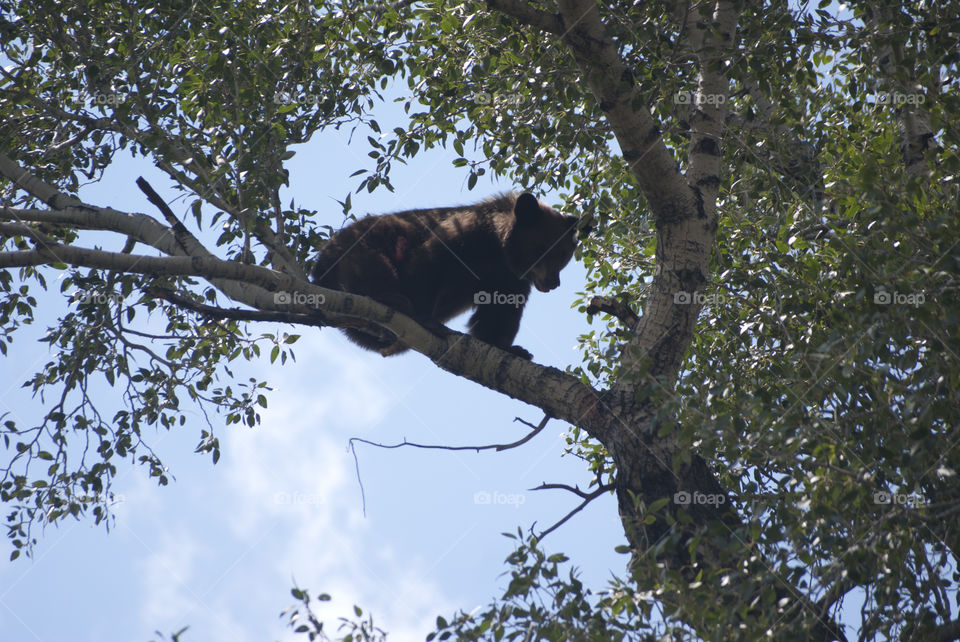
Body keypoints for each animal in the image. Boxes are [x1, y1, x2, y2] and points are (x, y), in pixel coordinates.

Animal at [311, 192, 581, 359]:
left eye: (564, 256)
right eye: (546, 249)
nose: (553, 283)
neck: (498, 250)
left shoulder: (510, 280)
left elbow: (499, 313)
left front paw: (512, 348)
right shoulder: (460, 238)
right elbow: (429, 267)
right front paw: (425, 317)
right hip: (361, 244)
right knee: (370, 266)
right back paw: (391, 299)